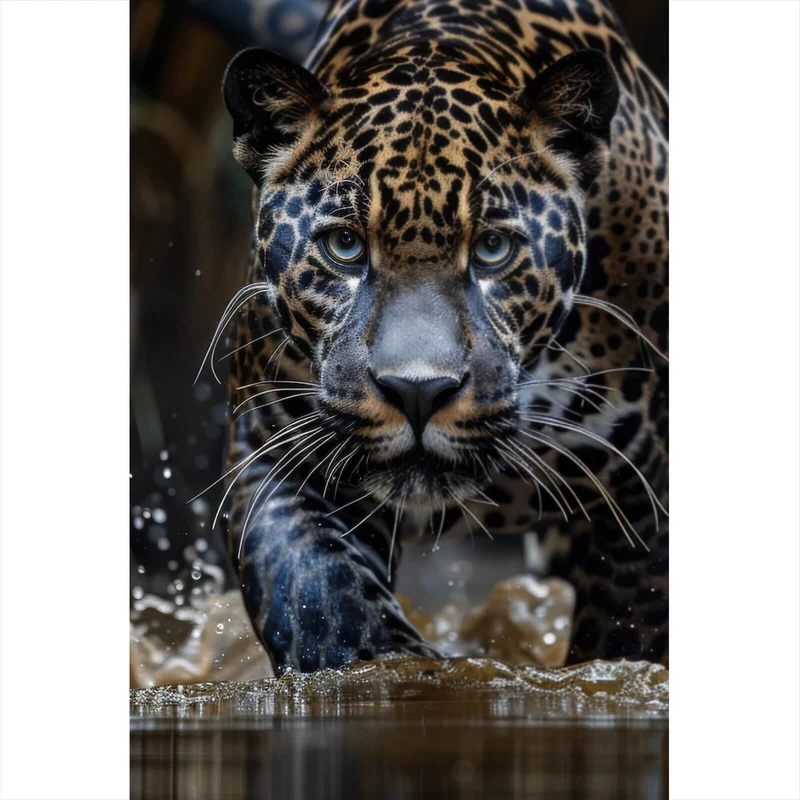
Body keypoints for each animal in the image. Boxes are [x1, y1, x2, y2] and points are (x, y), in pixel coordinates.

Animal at [207, 0, 668, 675]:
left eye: (494, 248)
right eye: (344, 246)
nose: (417, 392)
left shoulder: (642, 507)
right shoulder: (275, 452)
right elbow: (318, 596)